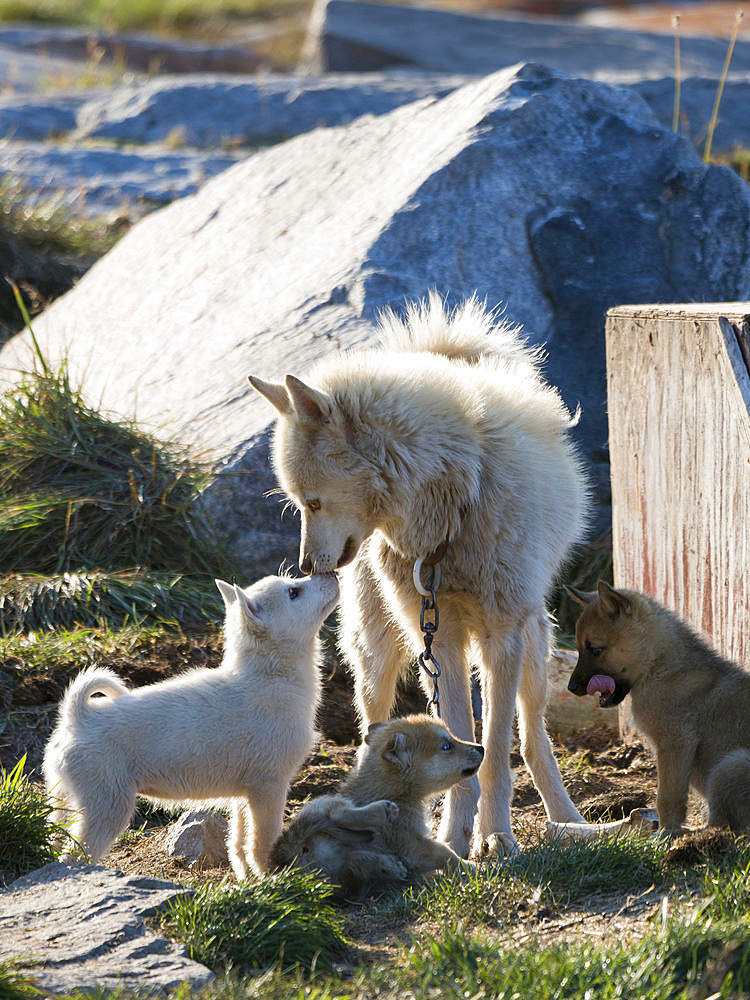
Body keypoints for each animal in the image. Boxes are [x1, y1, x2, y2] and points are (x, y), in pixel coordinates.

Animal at [44, 572, 340, 876]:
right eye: (294, 593)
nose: (331, 573)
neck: (270, 675)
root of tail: (77, 716)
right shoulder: (269, 787)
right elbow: (262, 842)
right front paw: (274, 878)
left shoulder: (246, 793)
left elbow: (239, 842)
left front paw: (248, 879)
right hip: (107, 808)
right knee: (75, 857)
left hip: (65, 803)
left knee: (56, 843)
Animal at [250, 292, 592, 856]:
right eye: (299, 503)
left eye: (314, 502)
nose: (305, 567)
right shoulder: (443, 641)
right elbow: (457, 747)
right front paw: (455, 835)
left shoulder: (499, 637)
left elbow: (492, 753)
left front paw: (494, 835)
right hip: (376, 652)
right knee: (375, 723)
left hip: (534, 652)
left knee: (532, 737)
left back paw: (568, 819)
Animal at [274, 716, 484, 896]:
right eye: (446, 746)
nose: (481, 748)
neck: (393, 792)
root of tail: (289, 858)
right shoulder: (410, 845)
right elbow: (445, 852)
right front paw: (470, 867)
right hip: (321, 804)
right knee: (336, 813)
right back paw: (380, 814)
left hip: (342, 883)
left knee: (352, 864)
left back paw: (387, 865)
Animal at [568, 584, 750, 832]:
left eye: (595, 650)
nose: (571, 688)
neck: (658, 666)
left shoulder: (675, 742)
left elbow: (667, 798)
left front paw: (667, 834)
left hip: (729, 768)